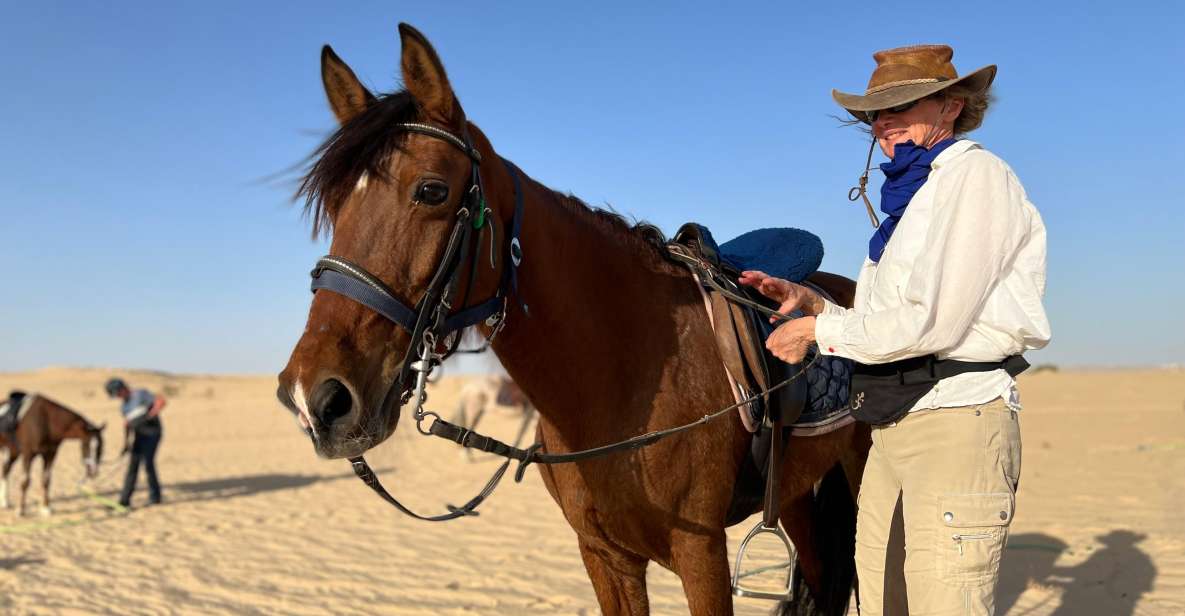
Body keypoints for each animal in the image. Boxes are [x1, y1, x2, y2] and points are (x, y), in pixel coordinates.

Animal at [274, 21, 872, 611]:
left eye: (431, 190)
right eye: (334, 207)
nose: (314, 398)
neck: (624, 376)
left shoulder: (701, 554)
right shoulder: (604, 556)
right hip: (794, 494)